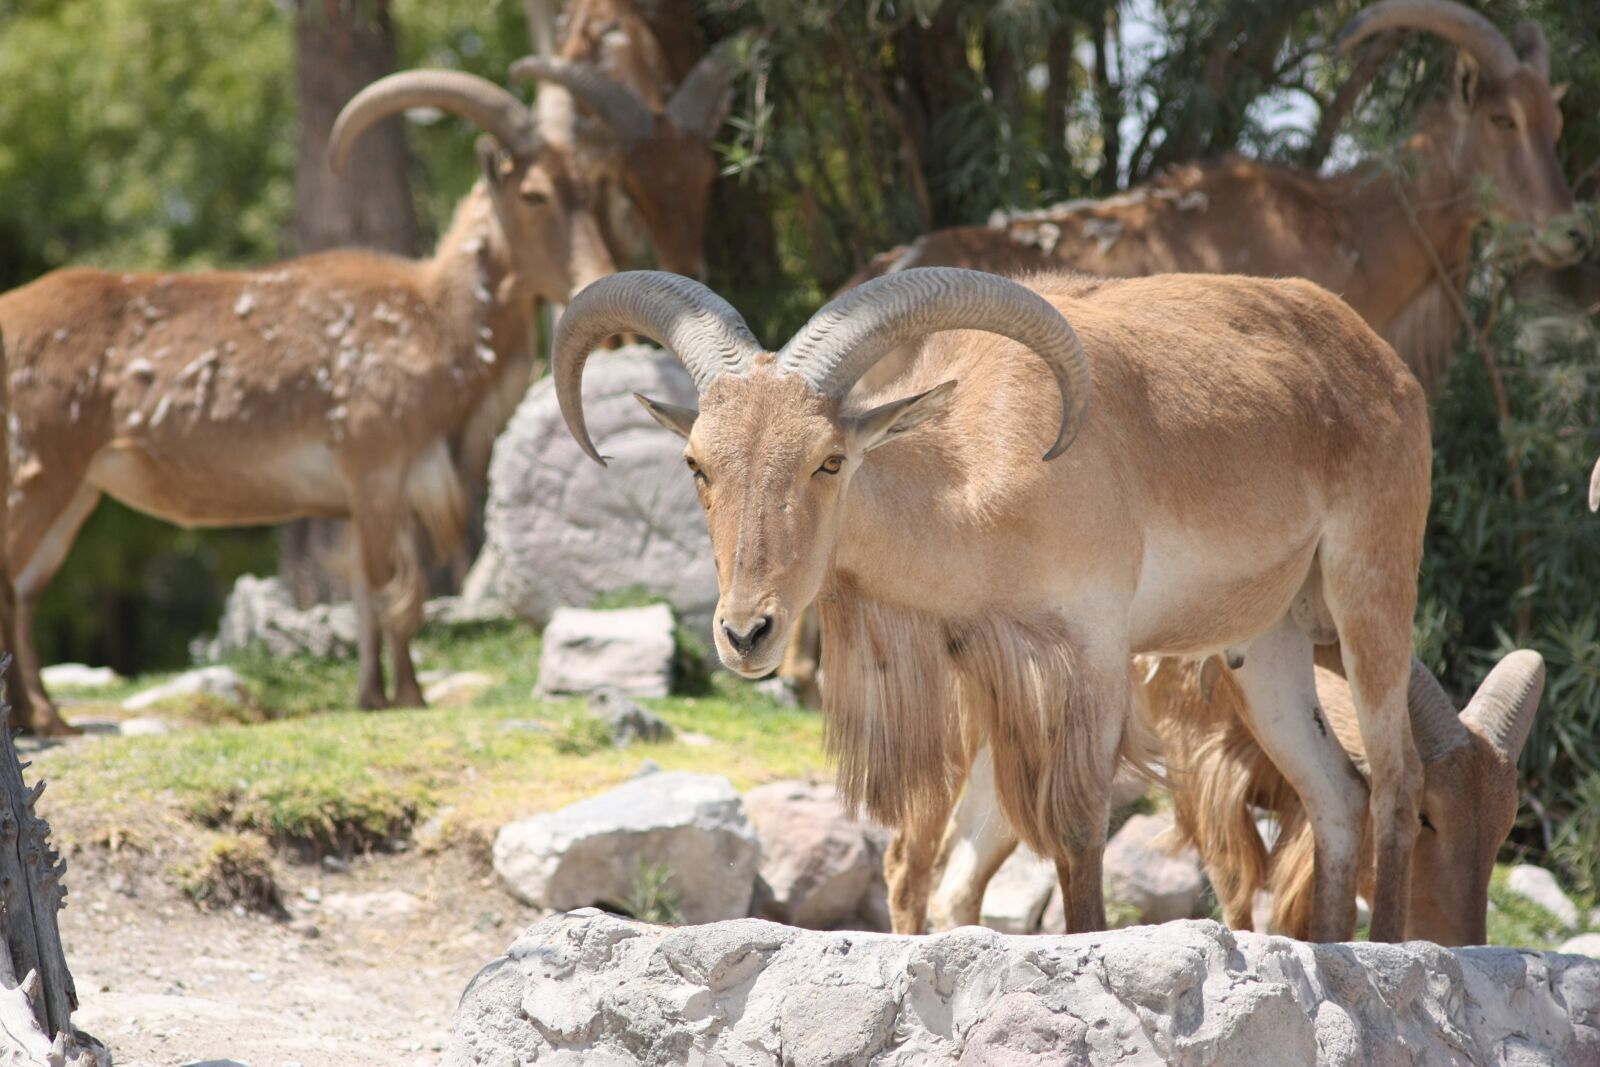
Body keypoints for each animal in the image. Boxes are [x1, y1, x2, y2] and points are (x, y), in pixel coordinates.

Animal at [0, 70, 614, 727]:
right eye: (534, 194)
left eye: (592, 189)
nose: (593, 278)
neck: (434, 319)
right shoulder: (375, 467)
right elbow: (394, 590)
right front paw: (401, 696)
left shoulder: (378, 492)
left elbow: (374, 593)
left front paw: (380, 694)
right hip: (43, 471)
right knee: (11, 578)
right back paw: (30, 716)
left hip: (77, 491)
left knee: (27, 587)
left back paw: (48, 716)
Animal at [550, 266, 1432, 942]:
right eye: (697, 463)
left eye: (829, 460)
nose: (747, 631)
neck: (976, 482)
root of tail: (1383, 362)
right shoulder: (982, 679)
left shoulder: (1091, 652)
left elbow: (1076, 836)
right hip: (1267, 645)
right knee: (1336, 793)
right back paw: (1328, 951)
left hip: (1371, 589)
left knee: (1396, 780)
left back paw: (1392, 949)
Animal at [927, 650, 1543, 945]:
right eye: (1423, 816)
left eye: (1504, 824)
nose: (1461, 945)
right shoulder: (1199, 762)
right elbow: (1234, 890)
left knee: (960, 882)